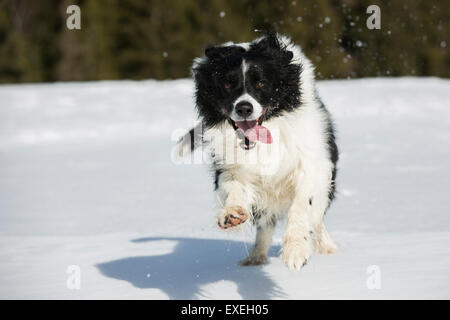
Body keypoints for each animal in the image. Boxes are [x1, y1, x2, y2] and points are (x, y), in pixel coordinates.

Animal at [176, 32, 338, 268]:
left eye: (261, 82)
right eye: (227, 84)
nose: (244, 108)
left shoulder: (311, 162)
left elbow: (302, 204)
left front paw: (296, 249)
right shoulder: (229, 165)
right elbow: (233, 186)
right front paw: (231, 214)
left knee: (316, 217)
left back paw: (327, 248)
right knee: (266, 223)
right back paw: (255, 258)